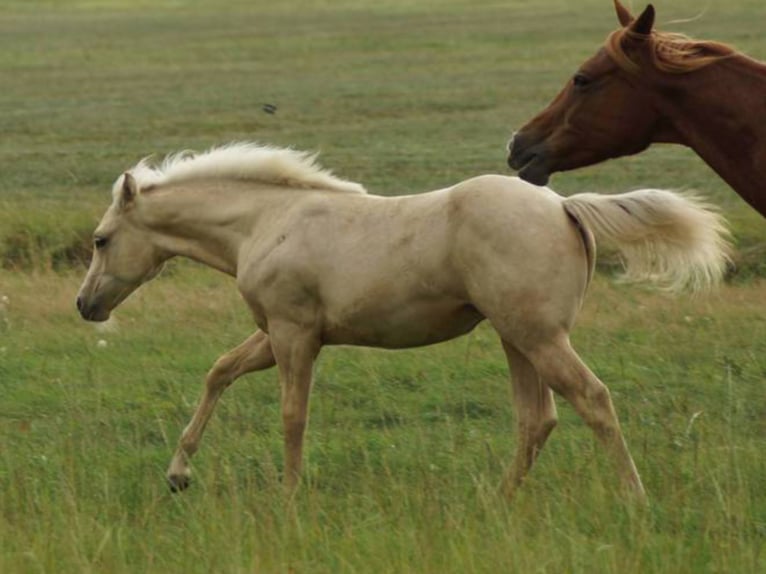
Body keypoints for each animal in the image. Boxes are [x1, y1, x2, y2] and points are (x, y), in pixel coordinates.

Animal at [76, 142, 730, 501]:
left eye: (101, 239)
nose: (85, 306)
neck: (266, 221)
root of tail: (564, 206)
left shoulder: (293, 335)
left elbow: (292, 416)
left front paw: (289, 497)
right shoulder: (276, 334)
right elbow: (219, 372)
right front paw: (178, 474)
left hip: (539, 337)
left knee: (591, 399)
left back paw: (634, 499)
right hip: (517, 337)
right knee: (536, 418)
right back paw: (498, 501)